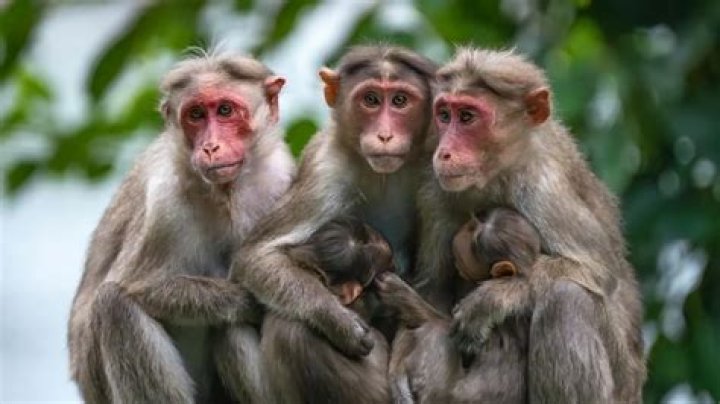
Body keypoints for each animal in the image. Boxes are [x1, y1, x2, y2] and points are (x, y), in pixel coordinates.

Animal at [67, 53, 296, 404]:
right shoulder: (164, 204)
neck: (224, 194)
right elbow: (136, 285)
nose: (211, 147)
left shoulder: (278, 179)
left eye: (225, 110)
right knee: (114, 305)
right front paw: (246, 300)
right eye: (196, 115)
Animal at [230, 46, 438, 363]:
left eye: (400, 101)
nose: (385, 135)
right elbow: (256, 257)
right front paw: (338, 321)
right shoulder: (325, 169)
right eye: (371, 100)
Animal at [411, 47, 646, 403]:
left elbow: (599, 271)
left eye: (467, 117)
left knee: (565, 299)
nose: (445, 152)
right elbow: (433, 288)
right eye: (444, 114)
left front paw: (496, 298)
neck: (497, 174)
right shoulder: (435, 189)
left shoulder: (542, 188)